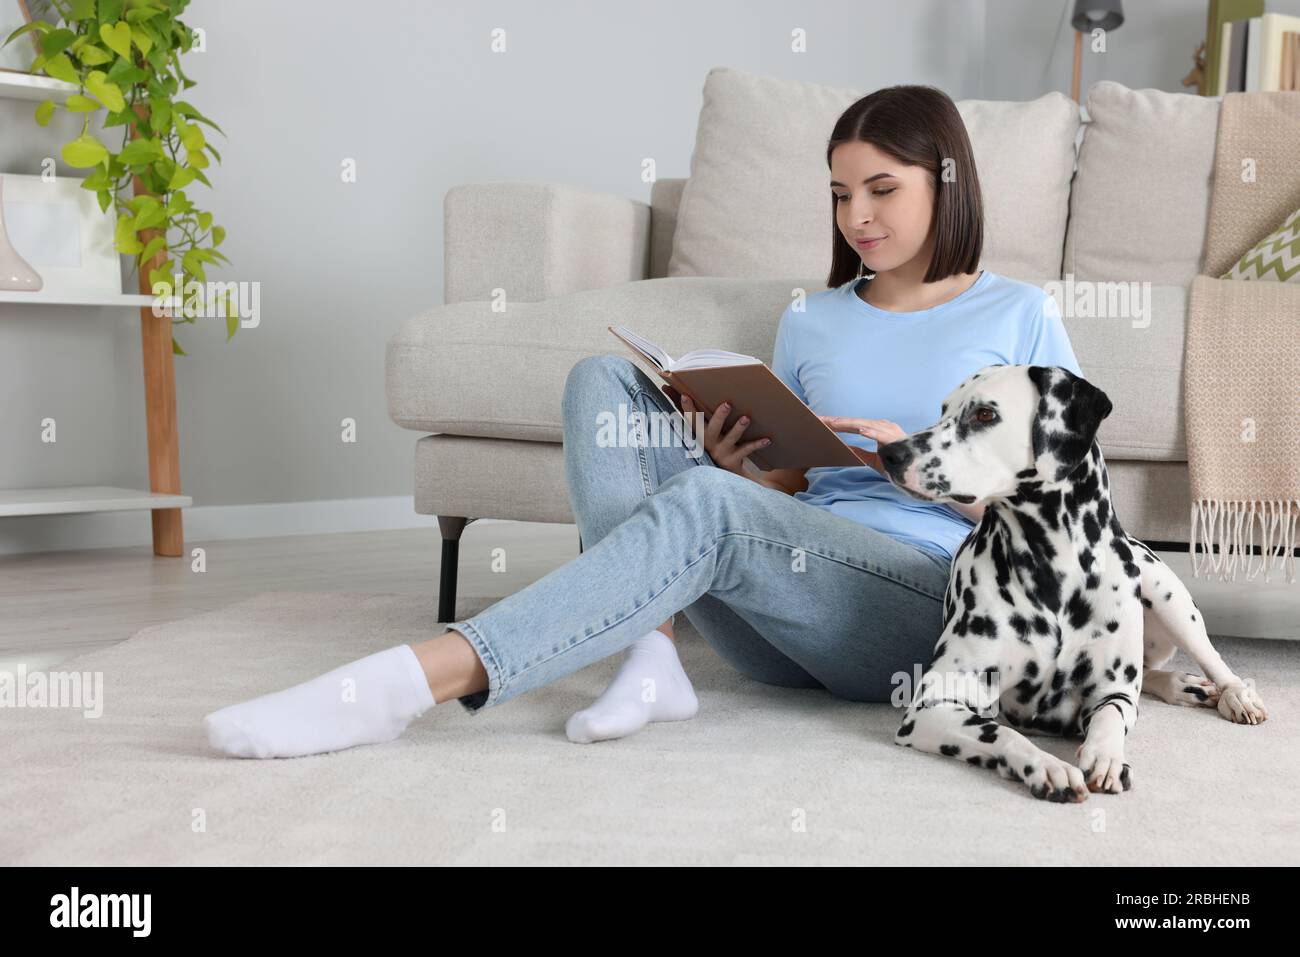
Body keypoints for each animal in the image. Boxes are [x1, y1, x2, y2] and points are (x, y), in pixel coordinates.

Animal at [878, 364, 1263, 800]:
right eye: (943, 410)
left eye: (984, 415)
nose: (890, 453)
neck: (1054, 572)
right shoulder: (934, 705)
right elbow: (1002, 734)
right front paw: (1047, 766)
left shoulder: (1112, 692)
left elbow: (1112, 715)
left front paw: (1106, 757)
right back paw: (1182, 684)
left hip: (1170, 598)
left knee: (1211, 662)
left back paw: (1235, 696)